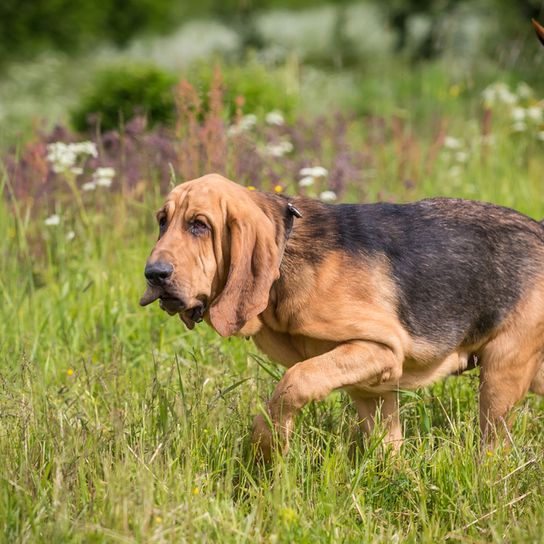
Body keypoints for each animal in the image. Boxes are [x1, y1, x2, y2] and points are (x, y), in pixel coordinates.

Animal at [139, 173, 544, 460]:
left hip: (500, 376)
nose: (154, 274)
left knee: (493, 448)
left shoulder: (379, 348)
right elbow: (388, 451)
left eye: (199, 225)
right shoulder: (373, 388)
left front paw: (267, 447)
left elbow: (293, 383)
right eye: (161, 221)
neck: (288, 253)